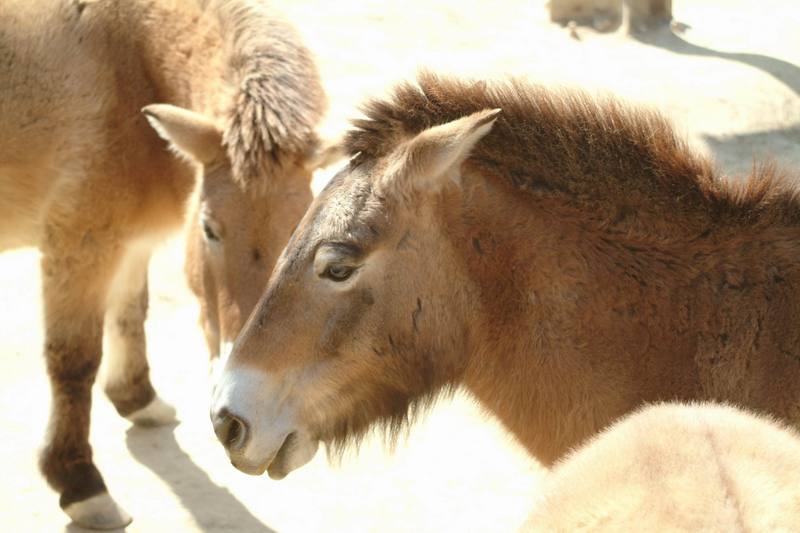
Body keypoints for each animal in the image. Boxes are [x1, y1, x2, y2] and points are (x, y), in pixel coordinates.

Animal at [0, 0, 330, 524]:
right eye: (209, 229)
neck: (127, 62)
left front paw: (138, 399)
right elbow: (75, 359)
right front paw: (79, 482)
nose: (247, 406)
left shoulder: (131, 242)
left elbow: (131, 314)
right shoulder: (80, 244)